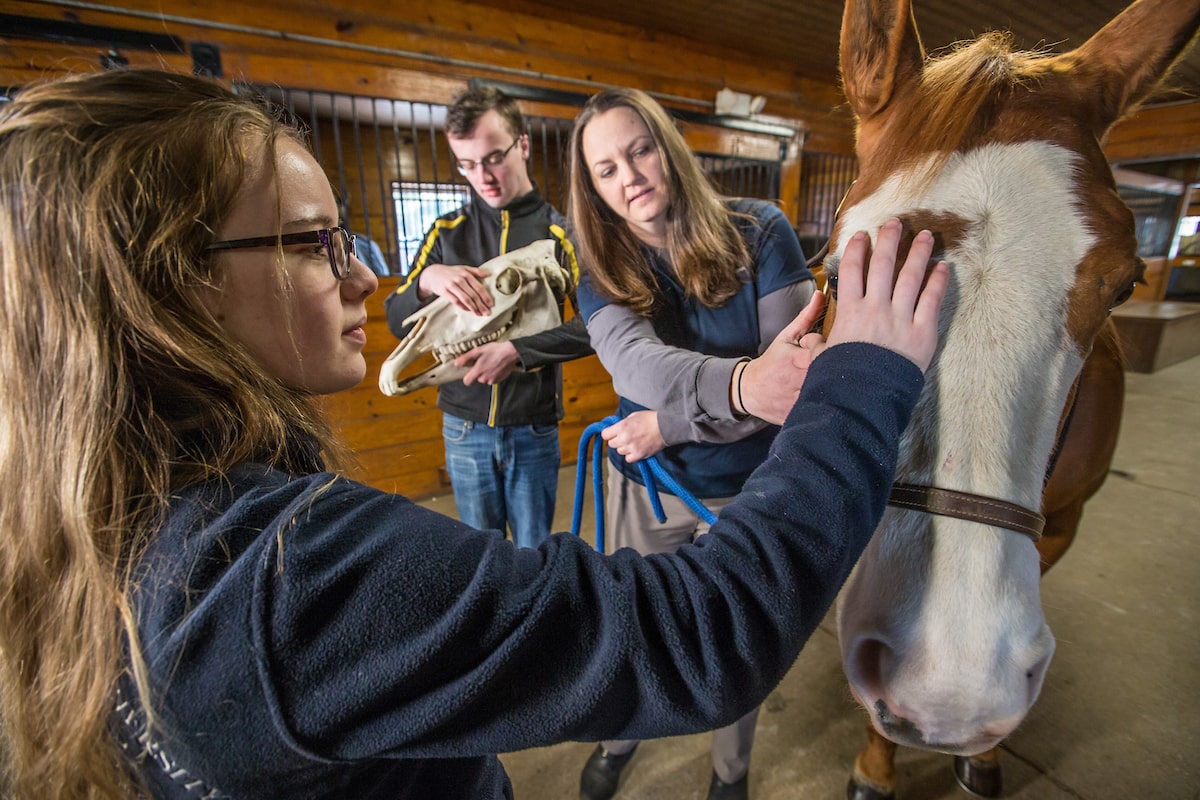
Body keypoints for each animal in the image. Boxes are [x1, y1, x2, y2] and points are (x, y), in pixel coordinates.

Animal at [816, 3, 1200, 796]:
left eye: (1125, 285)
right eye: (837, 275)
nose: (951, 686)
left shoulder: (1063, 528)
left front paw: (984, 754)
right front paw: (877, 764)